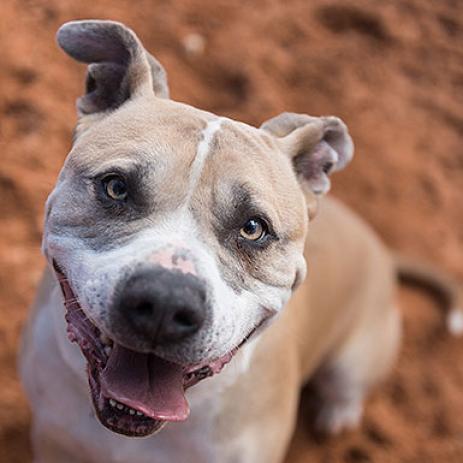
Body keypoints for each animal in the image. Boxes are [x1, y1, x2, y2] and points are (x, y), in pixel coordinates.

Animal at [19, 20, 463, 463]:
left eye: (253, 228)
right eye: (115, 188)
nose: (165, 302)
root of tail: (381, 249)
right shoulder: (52, 438)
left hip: (354, 360)